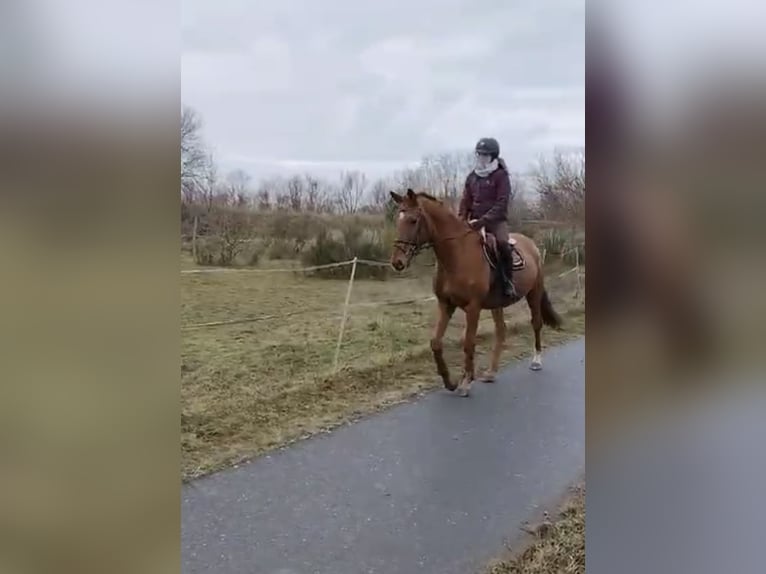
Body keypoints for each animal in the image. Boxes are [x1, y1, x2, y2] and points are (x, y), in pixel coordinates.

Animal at [390, 189, 564, 396]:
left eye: (413, 220)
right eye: (398, 219)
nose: (397, 262)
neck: (457, 255)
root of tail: (531, 244)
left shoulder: (473, 308)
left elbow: (468, 343)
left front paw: (466, 381)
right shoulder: (445, 304)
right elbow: (436, 343)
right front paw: (450, 381)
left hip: (534, 293)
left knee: (536, 323)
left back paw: (536, 361)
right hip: (498, 304)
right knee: (501, 331)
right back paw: (491, 372)